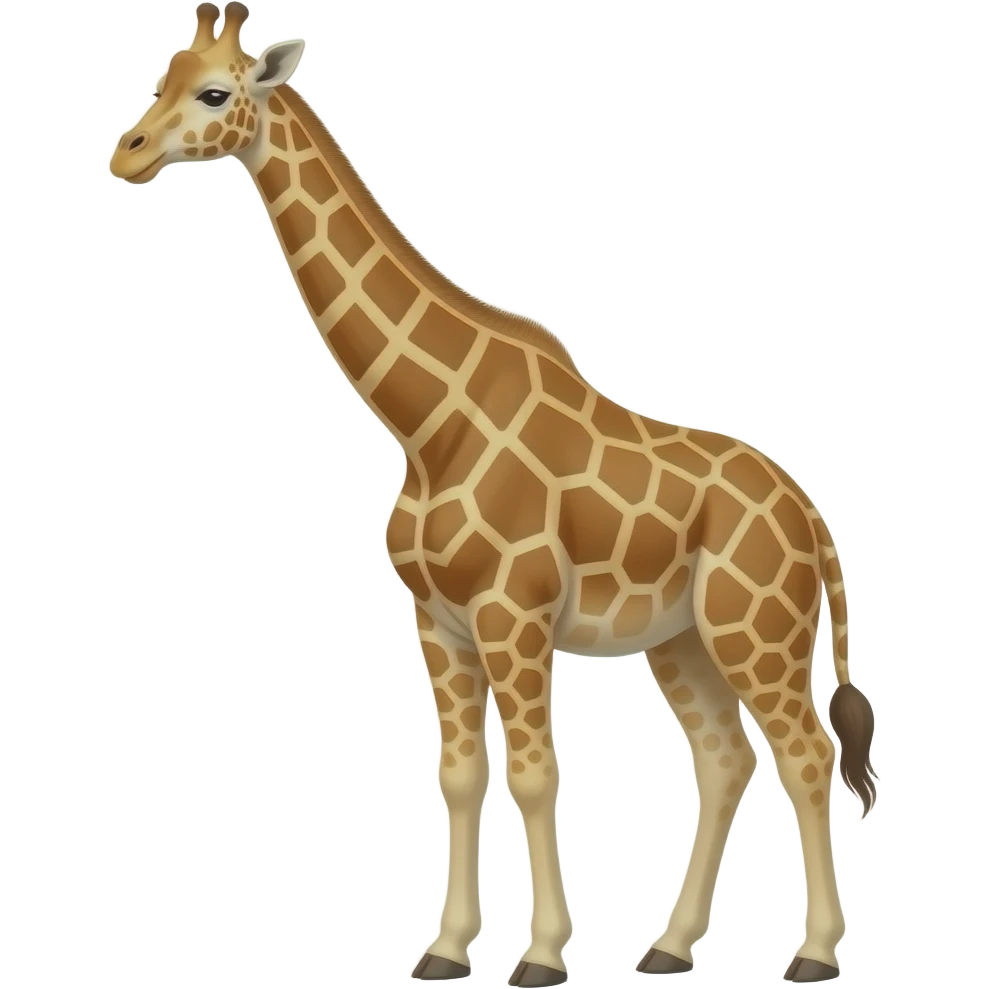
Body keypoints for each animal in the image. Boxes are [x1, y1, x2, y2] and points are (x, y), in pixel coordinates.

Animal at [108, 4, 881, 985]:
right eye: (163, 75)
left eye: (214, 92)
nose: (125, 153)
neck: (427, 423)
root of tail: (810, 515)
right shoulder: (436, 620)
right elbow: (460, 776)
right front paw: (445, 948)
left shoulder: (514, 614)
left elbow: (535, 774)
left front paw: (541, 955)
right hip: (682, 639)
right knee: (724, 760)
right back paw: (668, 946)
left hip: (757, 629)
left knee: (805, 753)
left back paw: (812, 952)